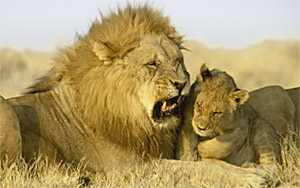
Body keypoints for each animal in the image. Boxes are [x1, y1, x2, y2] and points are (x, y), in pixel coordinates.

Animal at [0, 5, 268, 187]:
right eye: (152, 64)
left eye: (178, 61)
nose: (181, 83)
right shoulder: (129, 167)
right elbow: (194, 169)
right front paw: (249, 180)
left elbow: (207, 163)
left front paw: (254, 172)